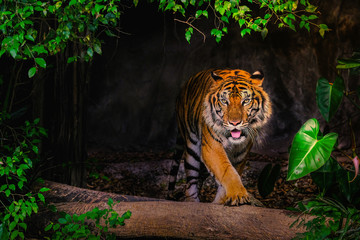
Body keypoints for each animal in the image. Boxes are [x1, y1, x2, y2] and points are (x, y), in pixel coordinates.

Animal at [167, 68, 272, 205]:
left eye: (245, 101)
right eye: (224, 101)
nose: (234, 123)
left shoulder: (241, 154)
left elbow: (231, 173)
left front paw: (222, 201)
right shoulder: (212, 147)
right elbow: (227, 171)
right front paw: (238, 194)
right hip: (192, 148)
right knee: (190, 183)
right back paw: (192, 201)